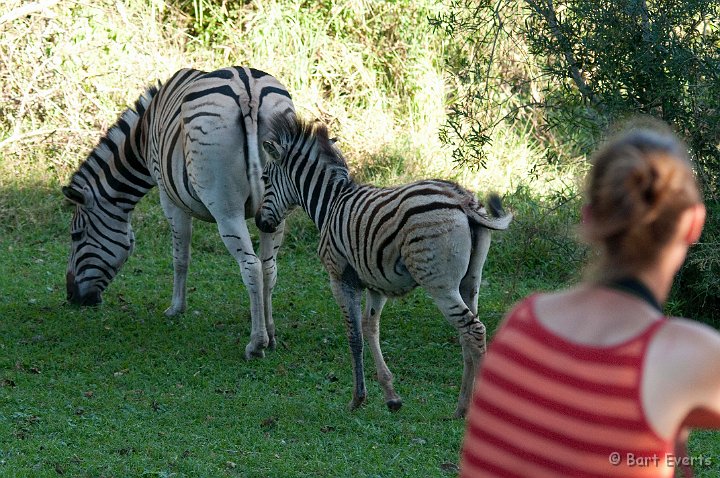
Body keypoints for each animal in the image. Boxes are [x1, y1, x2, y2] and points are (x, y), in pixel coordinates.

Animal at [63, 66, 294, 358]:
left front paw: (175, 308)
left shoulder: (170, 198)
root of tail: (247, 86)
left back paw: (256, 343)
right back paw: (271, 335)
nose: (71, 297)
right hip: (276, 207)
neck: (142, 135)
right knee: (268, 267)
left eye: (76, 235)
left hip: (226, 209)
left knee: (251, 267)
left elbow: (180, 258)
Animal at [255, 114, 512, 416]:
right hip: (470, 282)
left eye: (265, 178)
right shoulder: (375, 283)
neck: (330, 203)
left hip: (440, 285)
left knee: (474, 329)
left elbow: (354, 335)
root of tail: (462, 198)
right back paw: (461, 407)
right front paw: (391, 396)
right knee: (467, 335)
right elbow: (370, 328)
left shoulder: (340, 277)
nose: (260, 223)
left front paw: (357, 398)